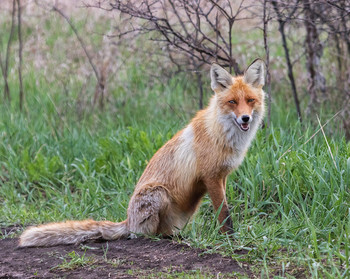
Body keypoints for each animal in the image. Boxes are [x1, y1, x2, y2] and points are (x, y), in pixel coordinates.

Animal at [19, 59, 266, 247]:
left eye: (250, 101)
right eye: (232, 102)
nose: (245, 118)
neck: (222, 135)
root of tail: (128, 220)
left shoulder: (221, 177)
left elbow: (225, 212)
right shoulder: (211, 177)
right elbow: (224, 215)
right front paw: (230, 241)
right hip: (158, 194)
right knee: (142, 235)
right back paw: (161, 238)